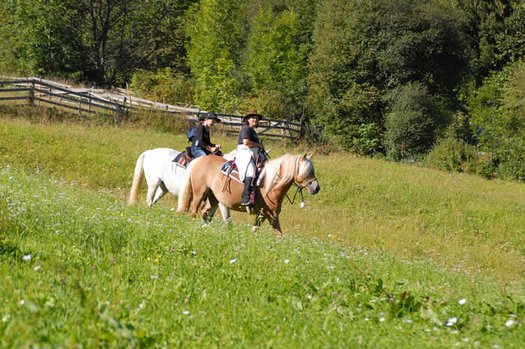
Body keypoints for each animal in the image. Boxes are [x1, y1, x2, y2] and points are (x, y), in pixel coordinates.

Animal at [176, 154, 320, 235]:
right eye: (307, 170)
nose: (316, 188)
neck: (270, 186)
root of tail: (199, 160)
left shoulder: (263, 215)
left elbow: (257, 231)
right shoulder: (271, 216)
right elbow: (279, 235)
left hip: (213, 198)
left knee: (204, 213)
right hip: (199, 193)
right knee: (193, 212)